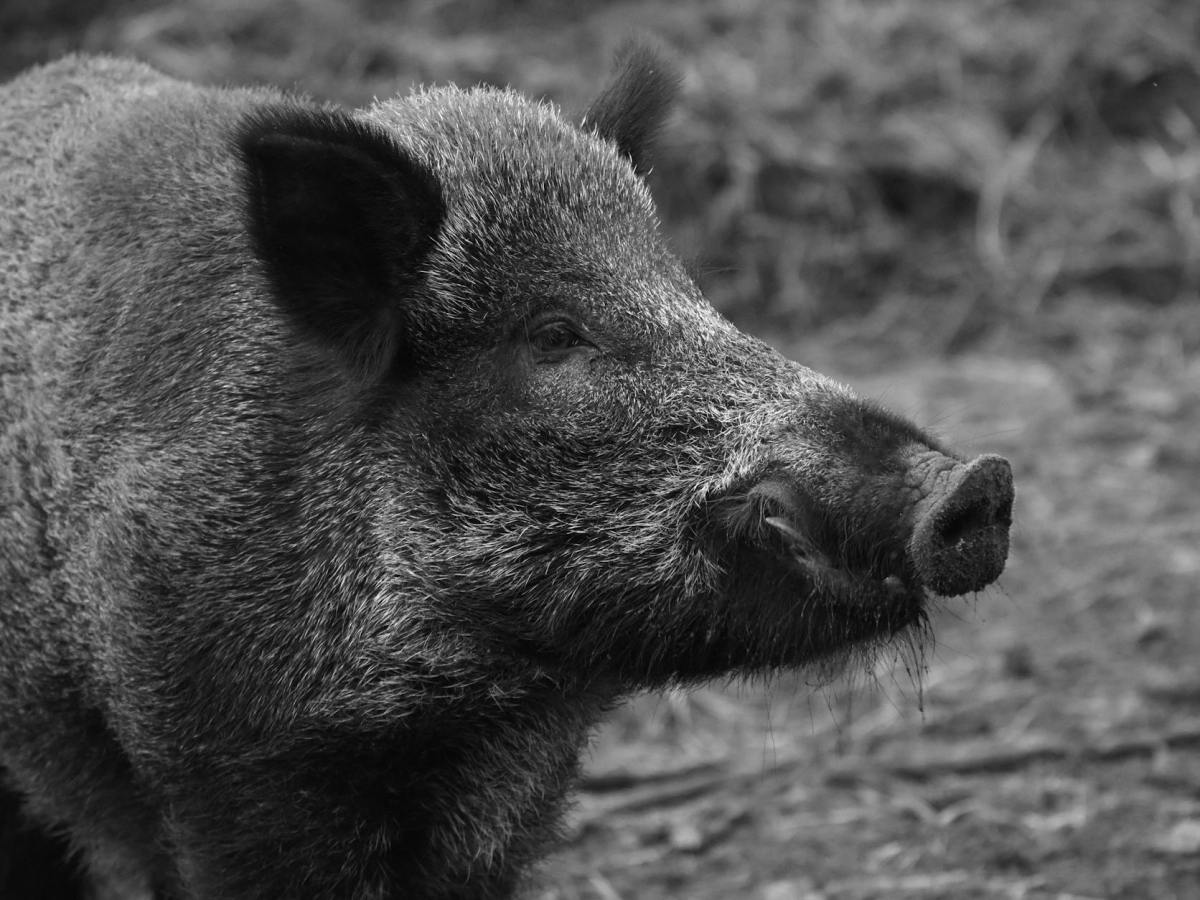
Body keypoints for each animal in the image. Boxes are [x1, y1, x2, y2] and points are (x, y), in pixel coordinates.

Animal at [0, 47, 1013, 899]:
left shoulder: (511, 800)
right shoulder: (221, 770)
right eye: (555, 334)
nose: (978, 483)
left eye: (693, 296)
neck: (462, 701)